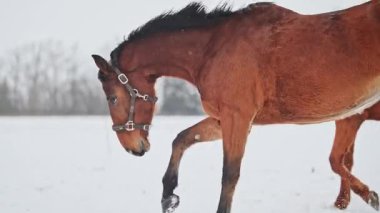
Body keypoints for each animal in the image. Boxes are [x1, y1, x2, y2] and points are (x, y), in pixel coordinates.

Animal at [92, 0, 380, 212]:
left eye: (112, 98)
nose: (133, 148)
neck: (211, 49)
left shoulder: (237, 118)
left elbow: (229, 175)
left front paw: (371, 196)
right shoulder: (224, 119)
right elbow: (181, 139)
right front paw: (168, 195)